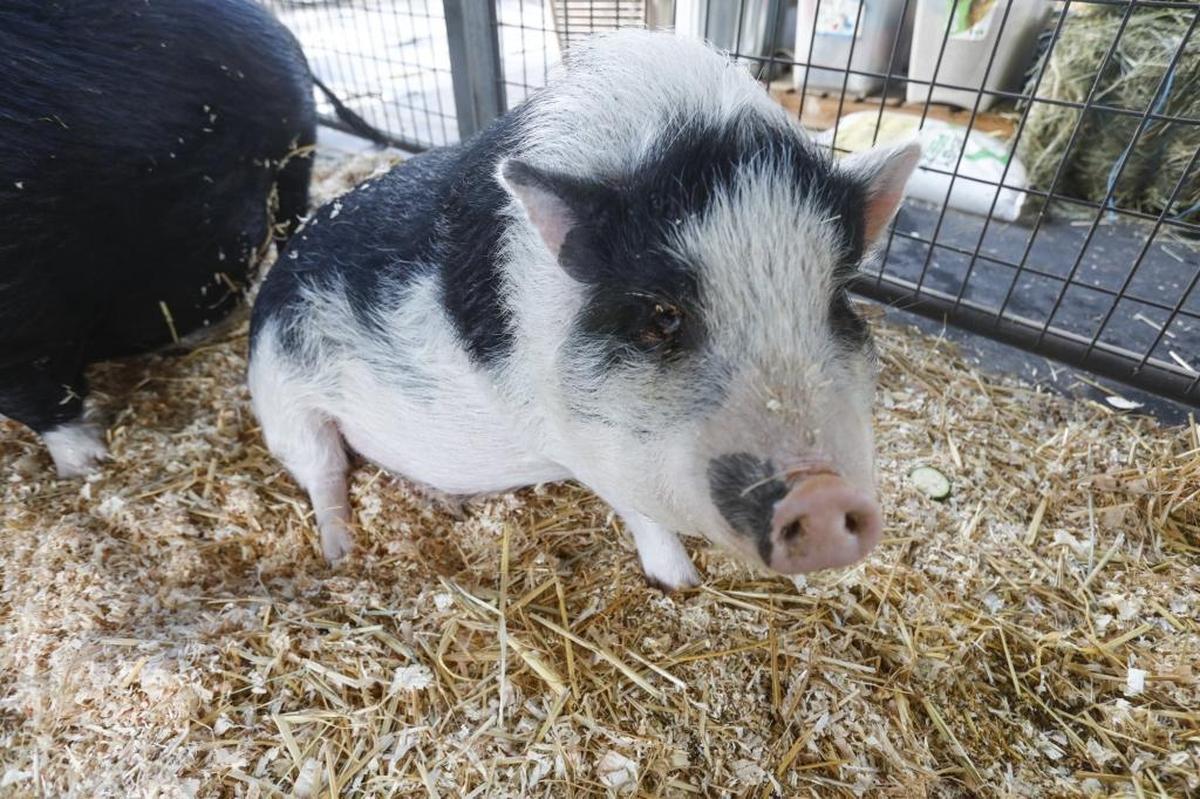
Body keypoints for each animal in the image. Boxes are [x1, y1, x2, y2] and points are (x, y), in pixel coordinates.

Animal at [248, 30, 920, 589]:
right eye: (662, 315)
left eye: (837, 298)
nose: (822, 495)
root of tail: (278, 267)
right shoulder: (574, 439)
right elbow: (642, 513)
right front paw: (681, 585)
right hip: (282, 403)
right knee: (322, 474)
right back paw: (340, 554)